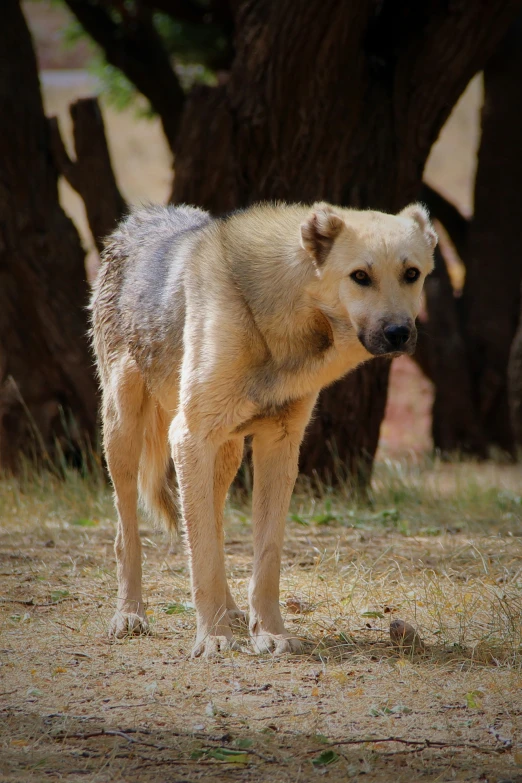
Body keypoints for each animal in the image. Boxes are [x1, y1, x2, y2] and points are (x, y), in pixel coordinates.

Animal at [89, 204, 434, 660]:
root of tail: (142, 215)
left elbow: (264, 558)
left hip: (226, 456)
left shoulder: (279, 447)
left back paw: (232, 613)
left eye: (411, 274)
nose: (399, 334)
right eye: (360, 276)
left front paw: (270, 634)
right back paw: (130, 614)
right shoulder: (190, 436)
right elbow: (201, 558)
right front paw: (212, 638)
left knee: (212, 527)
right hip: (125, 435)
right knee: (127, 533)